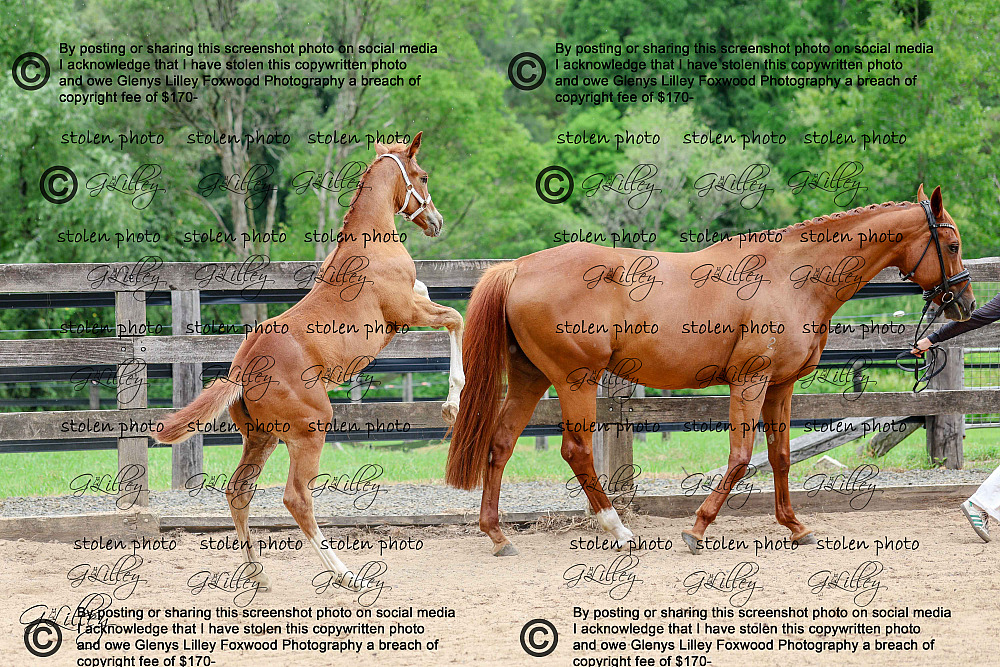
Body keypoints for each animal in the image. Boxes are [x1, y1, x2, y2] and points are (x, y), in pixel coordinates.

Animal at [155, 132, 465, 590]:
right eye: (423, 176)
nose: (437, 221)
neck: (370, 242)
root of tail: (241, 369)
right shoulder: (406, 313)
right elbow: (455, 318)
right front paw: (451, 404)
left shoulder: (410, 307)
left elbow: (436, 299)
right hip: (309, 431)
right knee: (297, 498)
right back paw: (346, 575)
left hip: (261, 438)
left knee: (239, 491)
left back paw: (258, 574)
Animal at [446, 184, 974, 556]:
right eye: (951, 244)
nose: (965, 304)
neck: (791, 277)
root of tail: (518, 268)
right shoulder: (750, 381)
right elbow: (741, 458)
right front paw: (697, 528)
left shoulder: (780, 386)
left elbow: (780, 456)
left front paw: (795, 526)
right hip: (577, 380)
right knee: (575, 451)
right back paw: (619, 530)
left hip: (531, 378)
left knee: (500, 444)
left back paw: (498, 535)